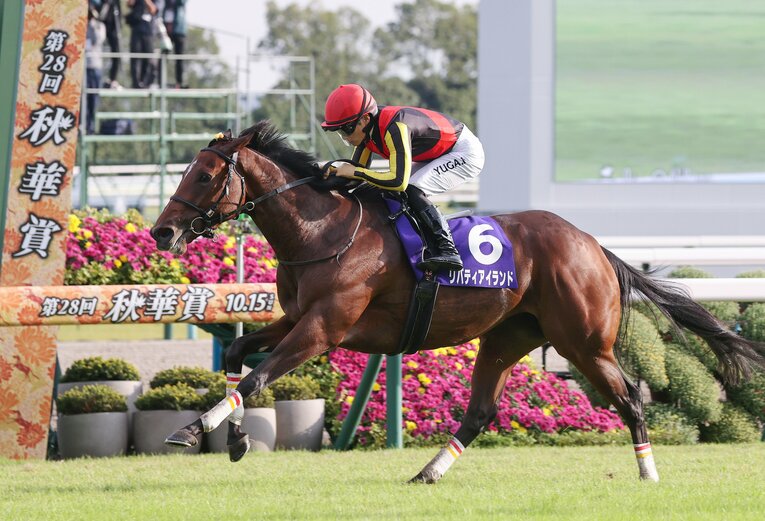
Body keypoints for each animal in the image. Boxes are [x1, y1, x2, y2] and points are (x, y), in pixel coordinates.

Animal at [150, 122, 765, 484]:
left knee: (631, 398)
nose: (161, 232)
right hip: (508, 335)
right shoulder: (298, 319)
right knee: (480, 411)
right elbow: (240, 359)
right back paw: (429, 471)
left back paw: (648, 474)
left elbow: (258, 377)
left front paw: (191, 432)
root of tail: (591, 244)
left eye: (204, 174)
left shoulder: (324, 328)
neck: (321, 230)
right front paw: (234, 438)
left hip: (584, 343)